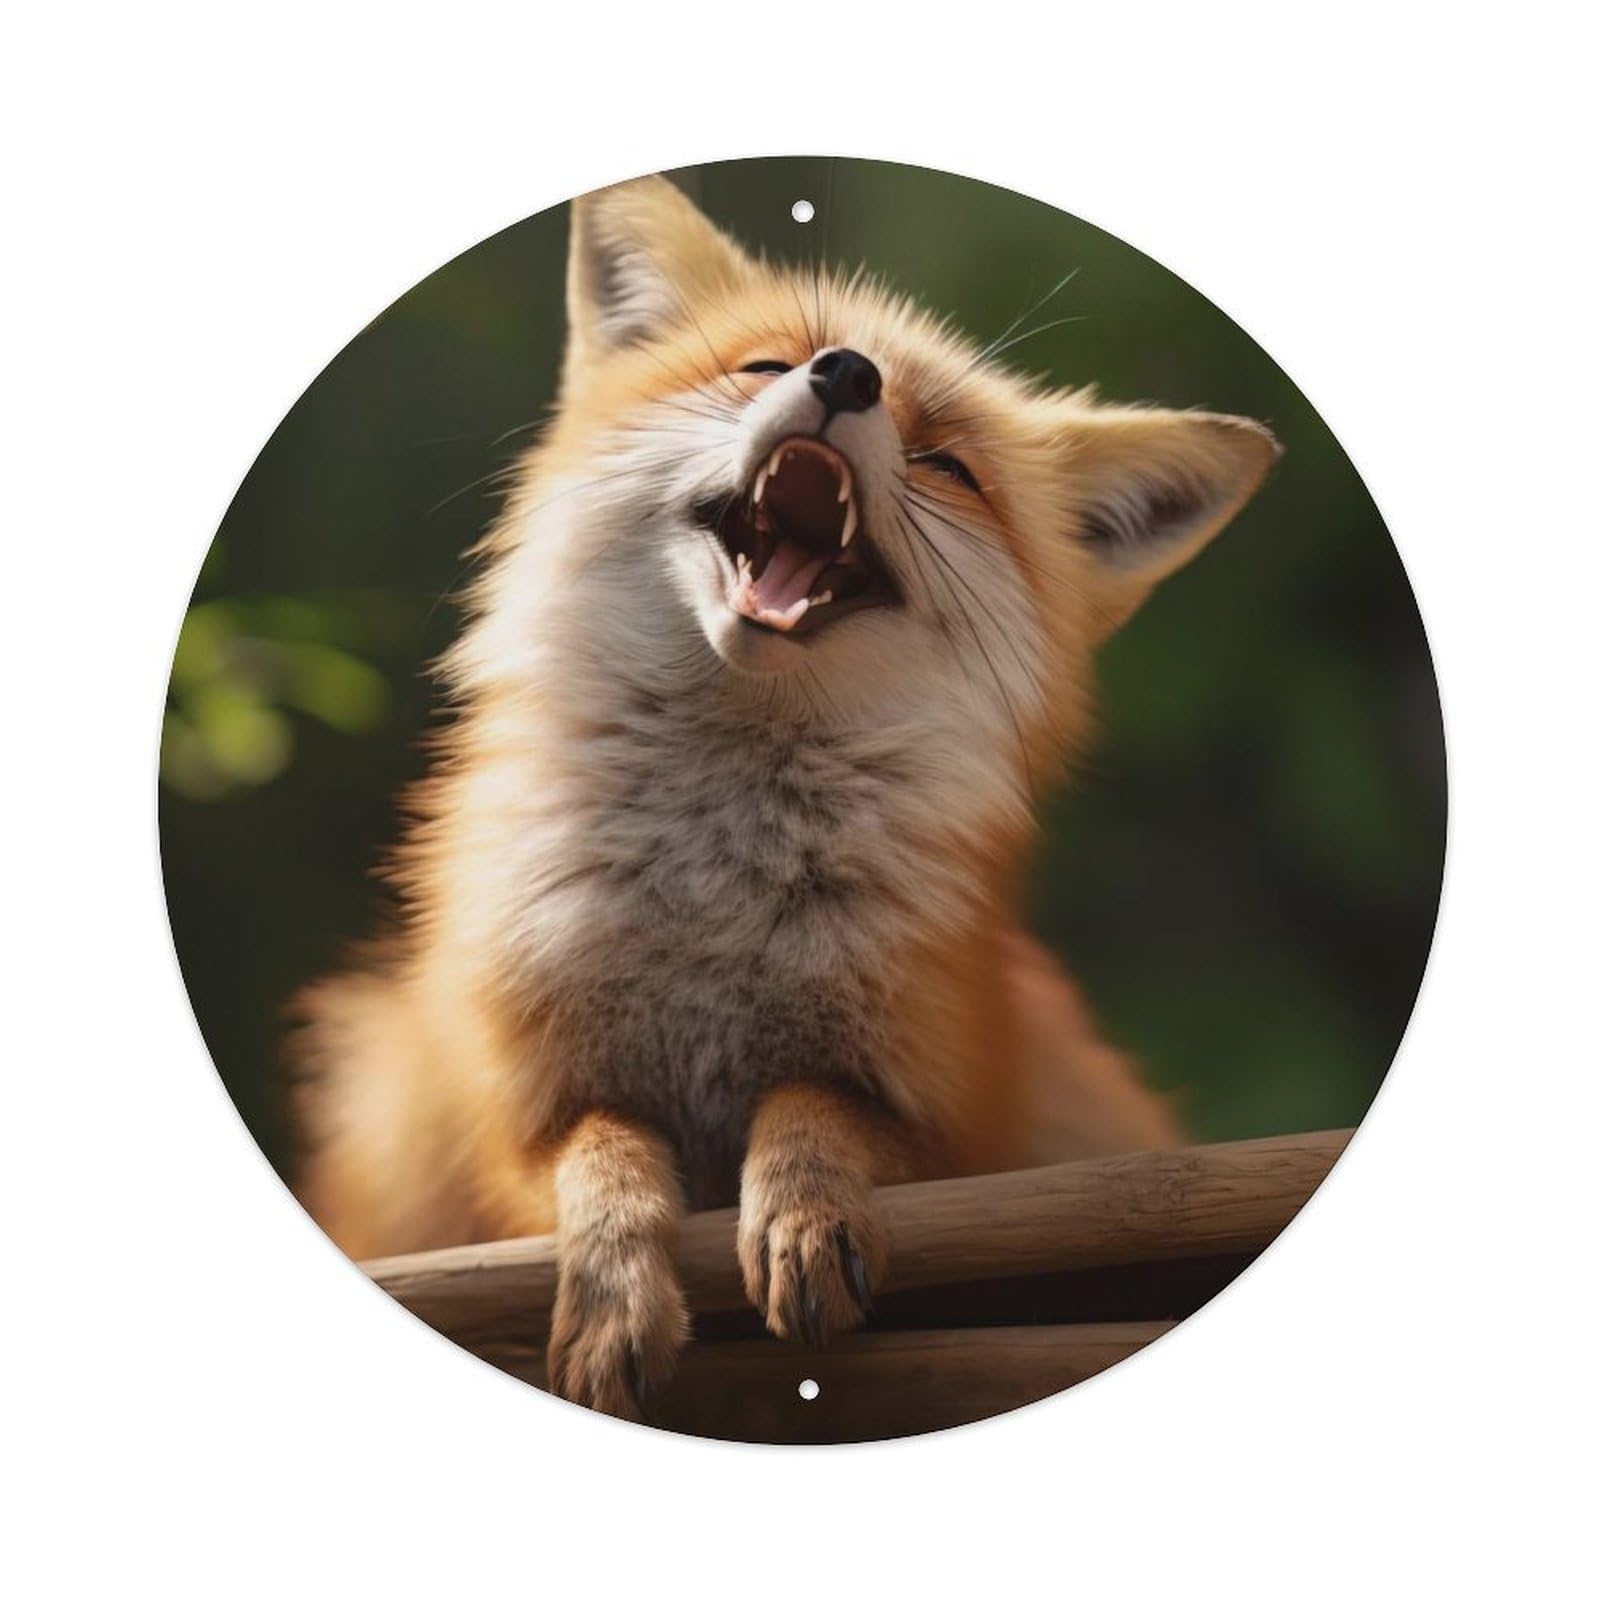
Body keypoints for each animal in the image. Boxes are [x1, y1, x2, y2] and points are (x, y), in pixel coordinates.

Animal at [292, 174, 1279, 1419]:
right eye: (765, 365)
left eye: (948, 464)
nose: (846, 374)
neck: (716, 900)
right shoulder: (507, 1119)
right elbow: (601, 1151)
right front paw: (614, 1291)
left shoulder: (952, 1118)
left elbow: (816, 1105)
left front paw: (805, 1212)